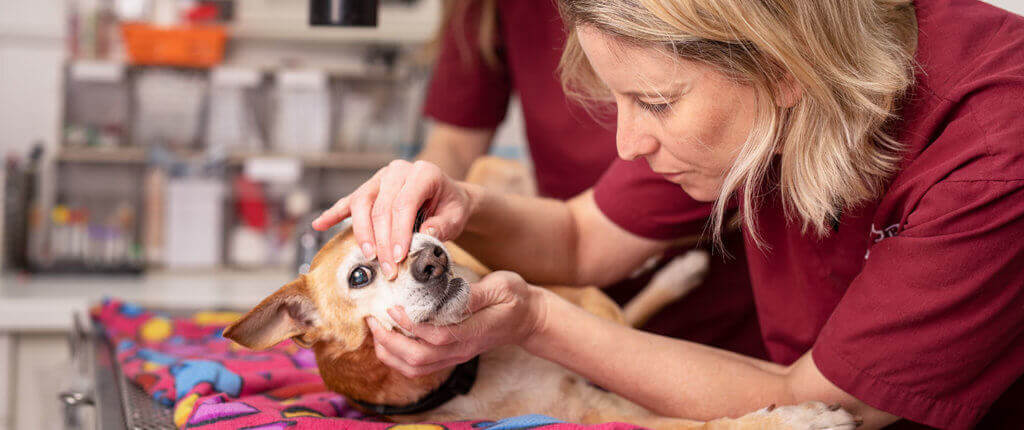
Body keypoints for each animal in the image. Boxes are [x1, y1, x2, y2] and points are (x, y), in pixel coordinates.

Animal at [222, 226, 856, 427]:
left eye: (420, 219)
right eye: (359, 275)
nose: (434, 259)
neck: (471, 374)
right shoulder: (602, 413)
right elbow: (712, 423)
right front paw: (800, 419)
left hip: (594, 309)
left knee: (630, 321)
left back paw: (680, 272)